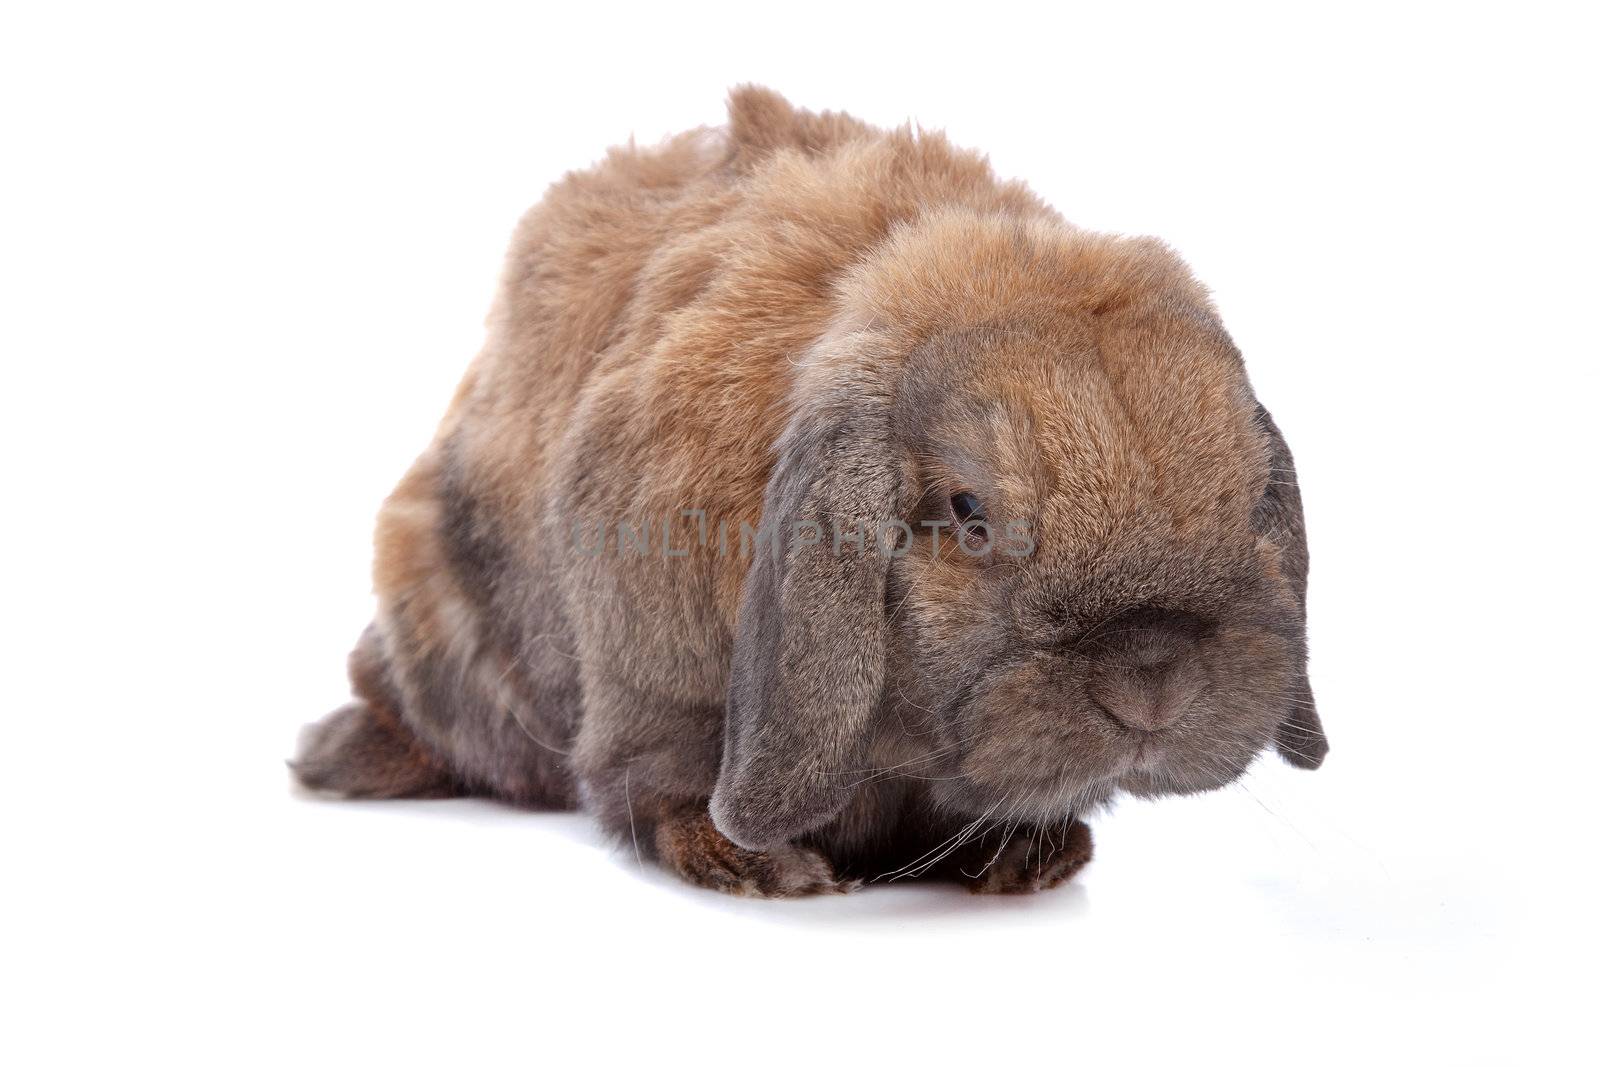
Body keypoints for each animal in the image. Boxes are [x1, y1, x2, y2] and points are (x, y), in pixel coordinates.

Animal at [297, 87, 1324, 895]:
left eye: (1248, 499)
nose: (1152, 680)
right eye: (968, 514)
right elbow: (653, 782)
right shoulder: (648, 684)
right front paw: (754, 864)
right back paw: (337, 756)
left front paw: (1025, 855)